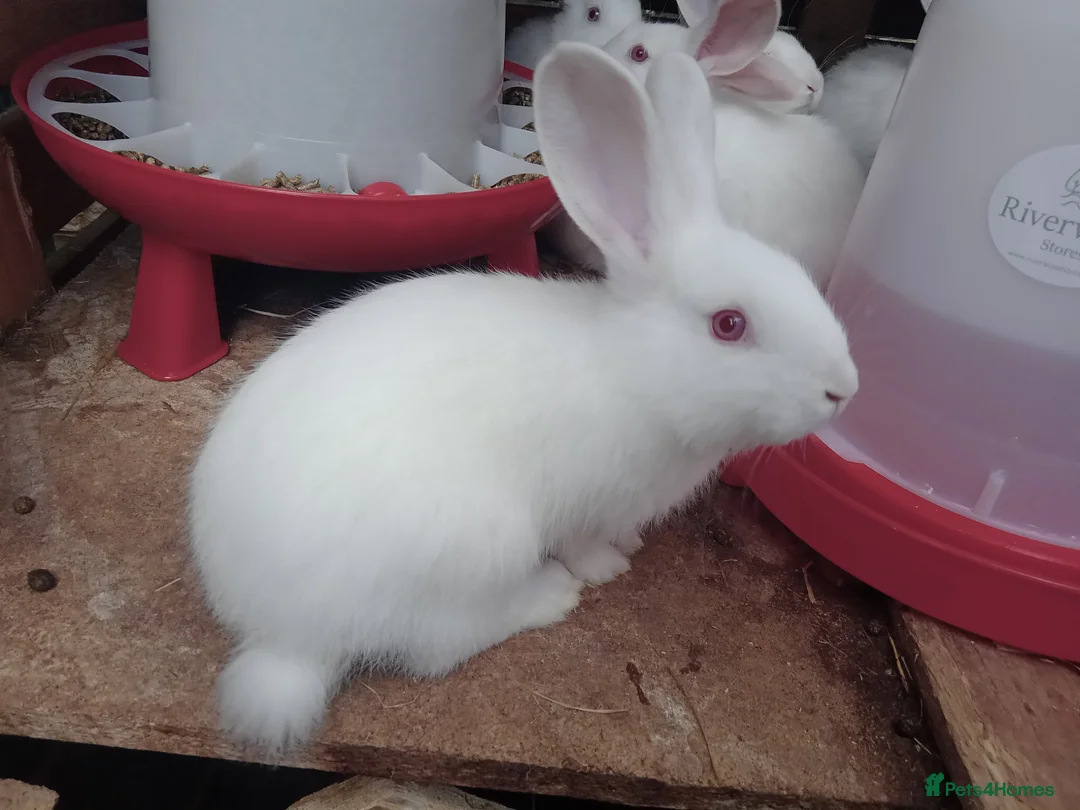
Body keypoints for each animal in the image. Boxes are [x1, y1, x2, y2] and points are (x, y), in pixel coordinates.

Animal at [188, 42, 859, 755]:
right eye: (729, 324)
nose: (843, 389)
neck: (635, 368)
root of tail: (282, 637)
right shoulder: (590, 502)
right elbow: (586, 545)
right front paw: (609, 568)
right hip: (481, 545)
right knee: (439, 645)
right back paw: (550, 596)